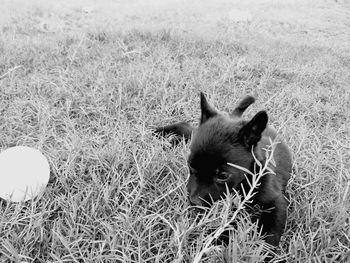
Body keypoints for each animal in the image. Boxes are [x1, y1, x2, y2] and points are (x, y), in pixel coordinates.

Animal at [156, 93, 292, 248]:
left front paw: (261, 251)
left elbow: (270, 236)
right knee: (186, 126)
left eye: (223, 176)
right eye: (191, 166)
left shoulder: (276, 203)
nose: (194, 202)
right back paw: (158, 133)